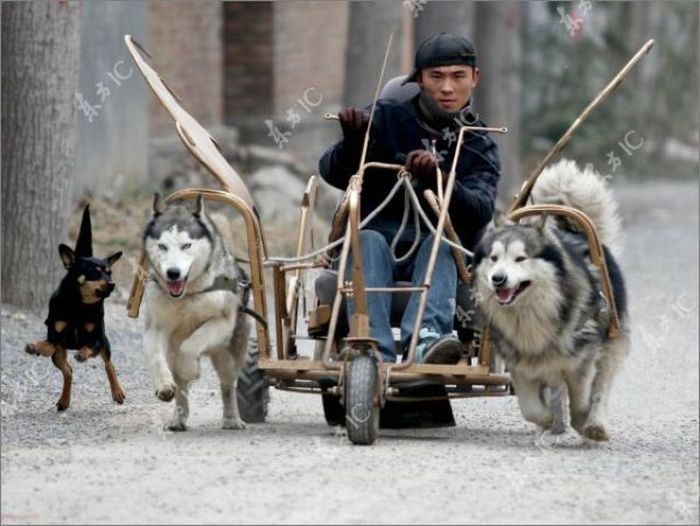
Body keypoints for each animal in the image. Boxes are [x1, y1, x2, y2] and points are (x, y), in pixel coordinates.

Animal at [24, 206, 126, 412]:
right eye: (94, 272)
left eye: (109, 273)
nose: (112, 284)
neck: (79, 305)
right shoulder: (55, 338)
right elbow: (46, 345)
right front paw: (35, 346)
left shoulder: (96, 339)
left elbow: (89, 347)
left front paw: (82, 354)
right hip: (59, 355)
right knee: (68, 371)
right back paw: (64, 400)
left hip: (105, 343)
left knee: (109, 364)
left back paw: (117, 391)